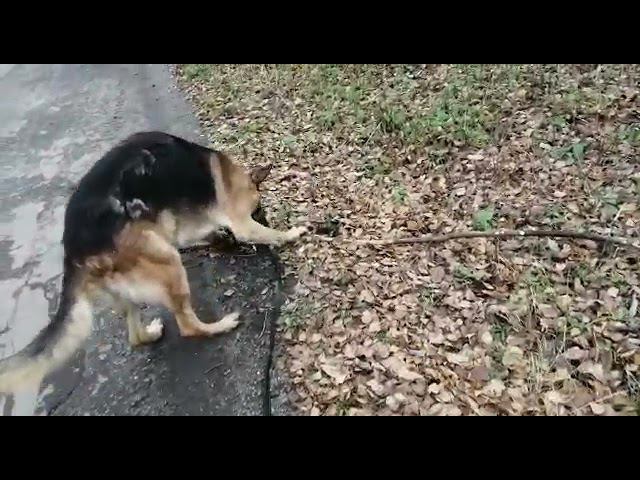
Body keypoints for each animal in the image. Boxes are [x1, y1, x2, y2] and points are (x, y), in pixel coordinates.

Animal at [0, 131, 308, 393]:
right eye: (258, 211)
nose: (262, 215)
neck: (230, 172)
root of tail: (73, 250)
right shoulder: (239, 220)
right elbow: (262, 233)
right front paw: (291, 233)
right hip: (167, 262)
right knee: (187, 325)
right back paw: (220, 325)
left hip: (134, 284)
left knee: (135, 337)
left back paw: (150, 333)